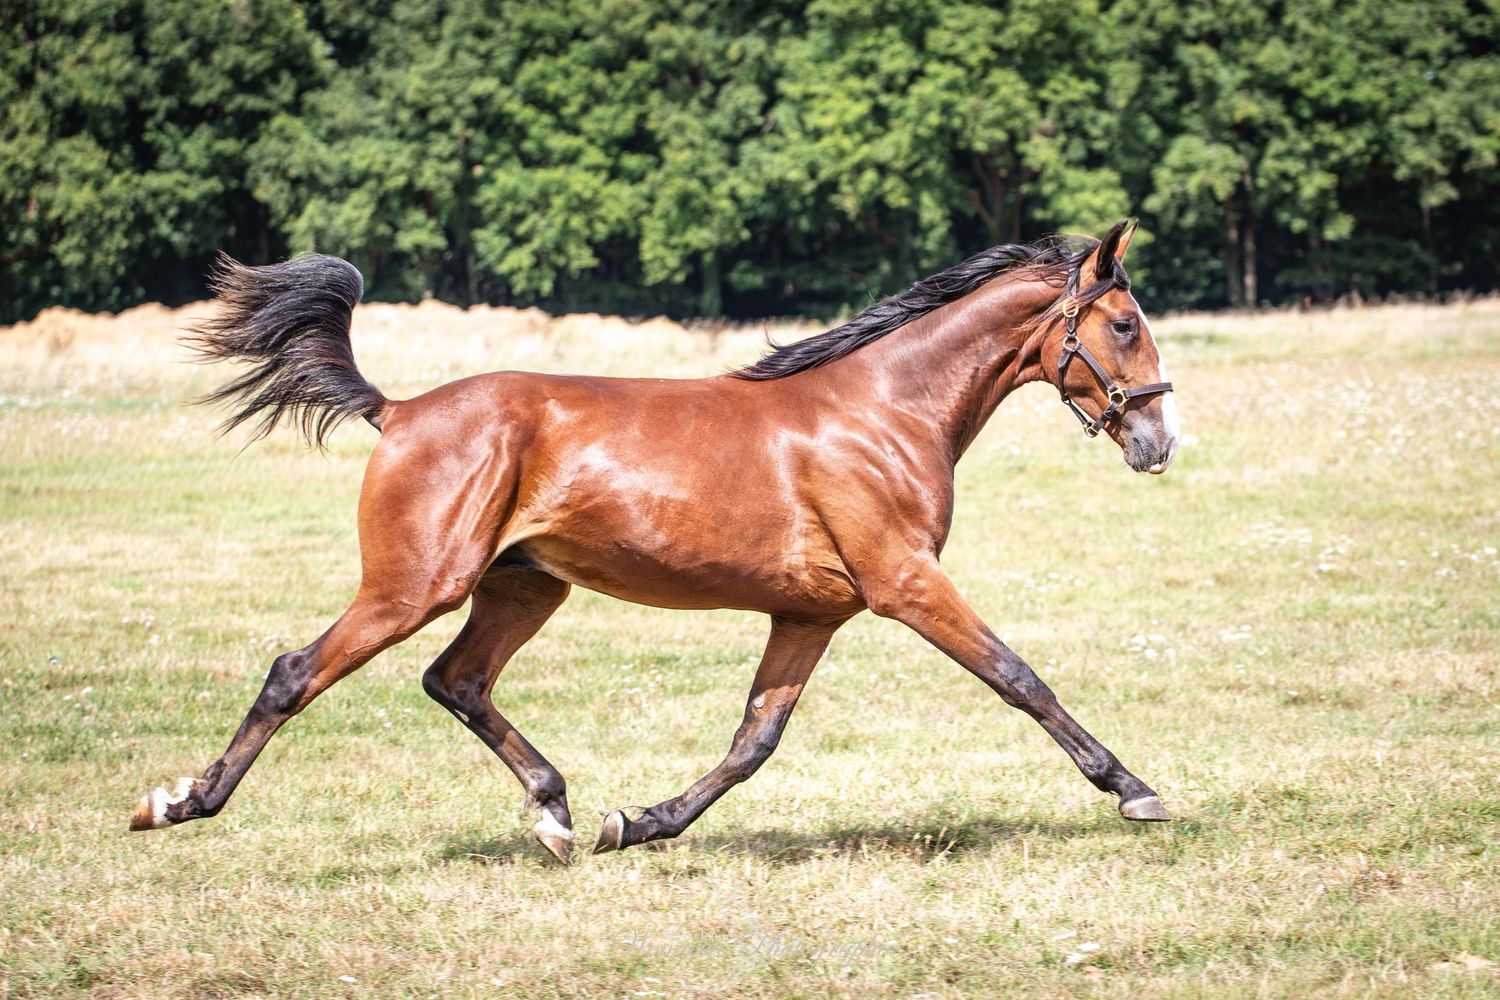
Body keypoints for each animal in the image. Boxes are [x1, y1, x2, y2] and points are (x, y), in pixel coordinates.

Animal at [130, 219, 1178, 864]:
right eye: (1126, 325)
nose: (1160, 440)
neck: (885, 410)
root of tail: (400, 411)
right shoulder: (905, 584)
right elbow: (1019, 678)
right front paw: (1137, 790)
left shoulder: (810, 614)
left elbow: (754, 741)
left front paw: (636, 824)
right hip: (415, 585)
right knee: (295, 672)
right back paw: (179, 802)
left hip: (524, 586)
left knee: (455, 680)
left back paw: (555, 814)